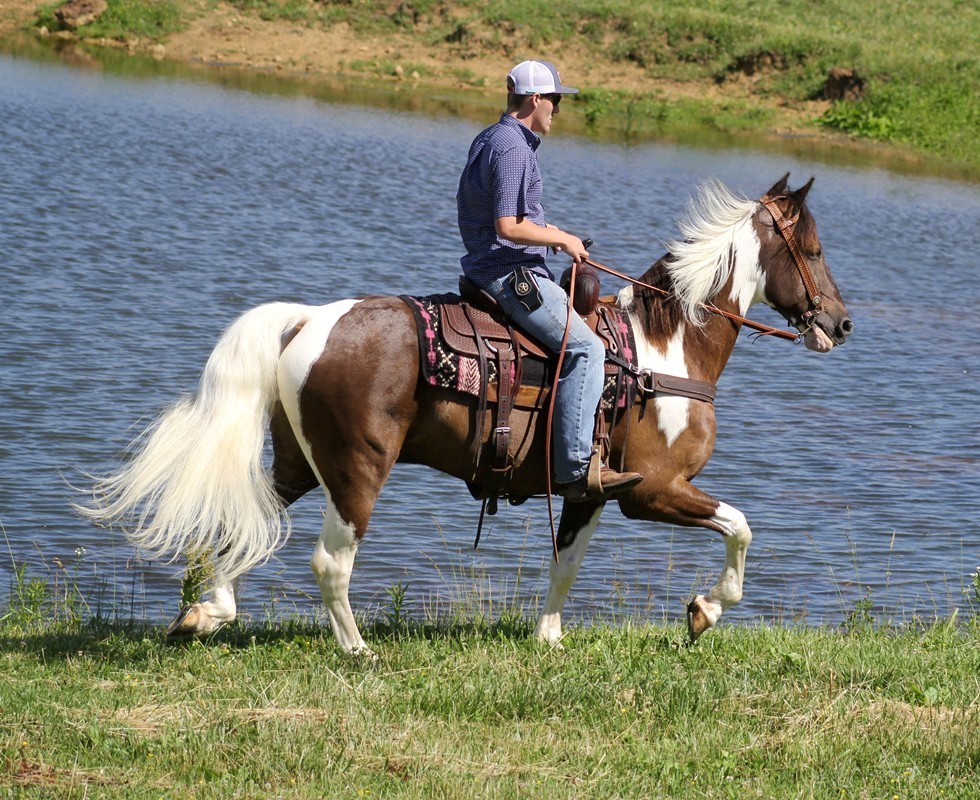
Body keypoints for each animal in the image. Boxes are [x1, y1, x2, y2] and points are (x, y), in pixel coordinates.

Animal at [79, 174, 853, 654]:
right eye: (814, 250)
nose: (841, 324)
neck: (664, 350)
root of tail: (308, 321)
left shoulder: (590, 491)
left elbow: (565, 564)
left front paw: (548, 639)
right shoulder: (657, 491)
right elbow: (741, 528)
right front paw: (704, 611)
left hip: (301, 463)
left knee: (249, 528)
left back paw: (204, 615)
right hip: (358, 470)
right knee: (331, 562)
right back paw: (357, 650)